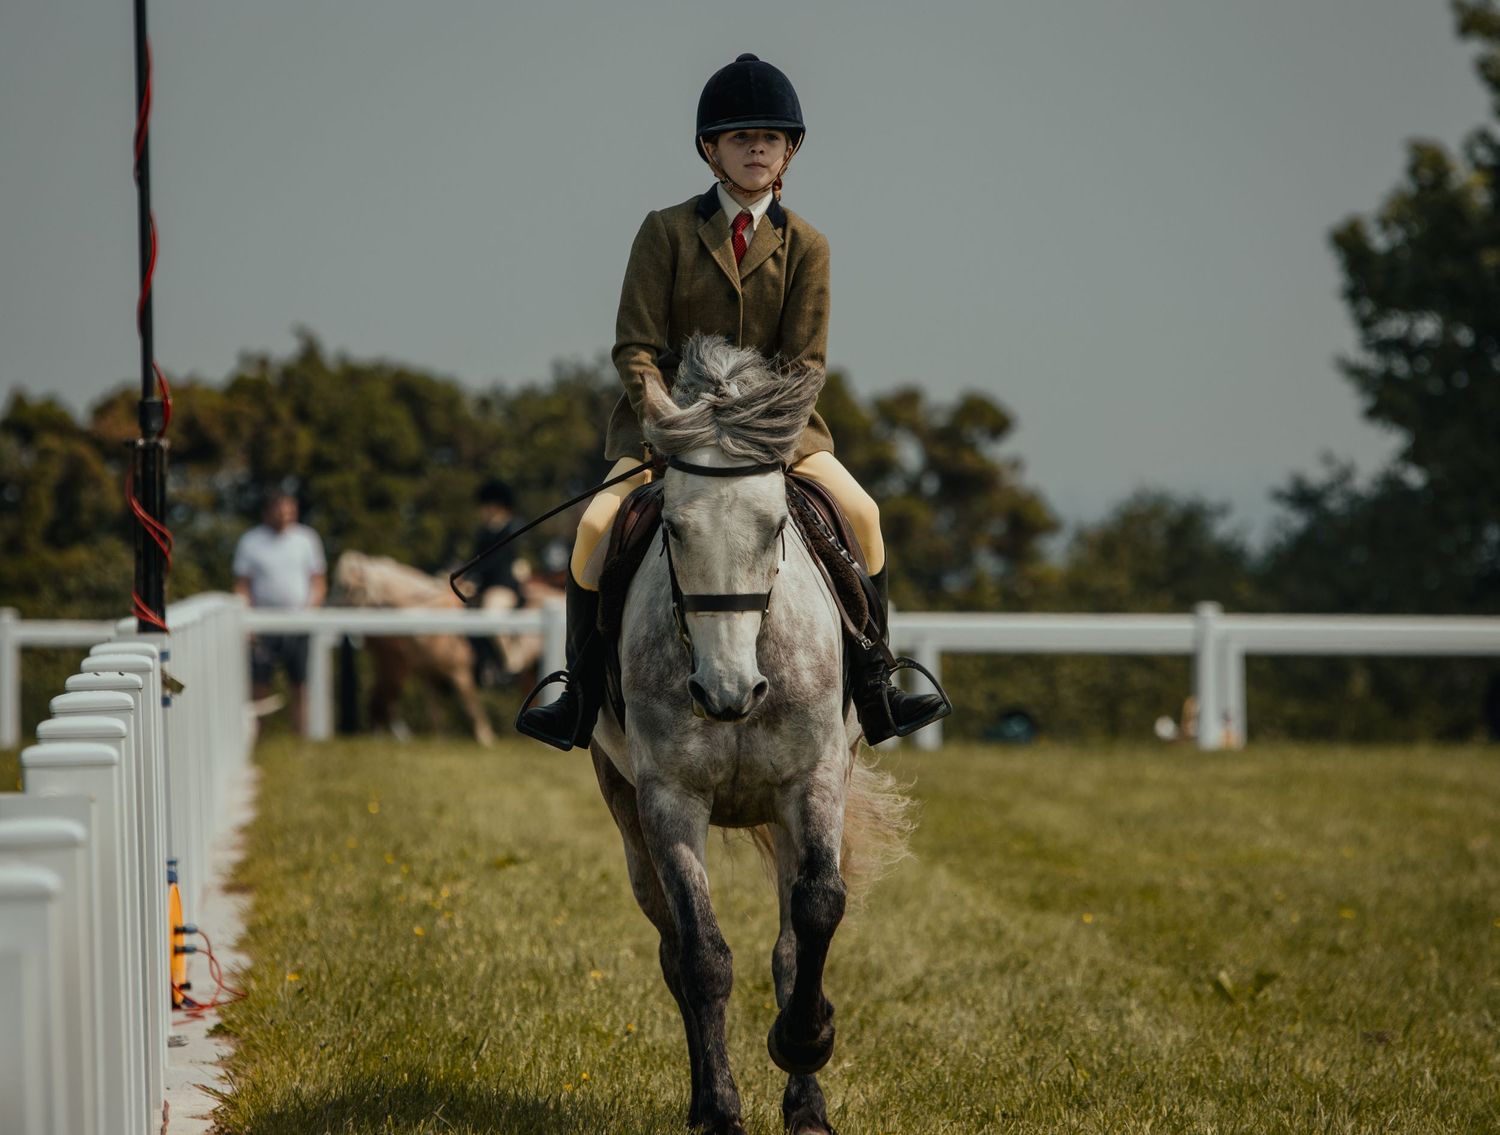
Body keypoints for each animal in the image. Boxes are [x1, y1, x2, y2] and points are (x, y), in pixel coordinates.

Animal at [332, 551, 553, 745]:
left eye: (348, 587)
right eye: (339, 585)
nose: (333, 612)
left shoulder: (460, 674)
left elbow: (472, 708)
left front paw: (486, 739)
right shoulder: (429, 677)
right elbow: (436, 715)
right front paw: (442, 741)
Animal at [588, 335, 914, 1135]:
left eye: (774, 527)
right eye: (673, 529)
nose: (727, 693)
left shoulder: (815, 782)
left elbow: (817, 912)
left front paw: (806, 1044)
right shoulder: (669, 799)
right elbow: (703, 957)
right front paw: (722, 1110)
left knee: (792, 937)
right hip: (626, 810)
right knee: (675, 951)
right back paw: (705, 1097)